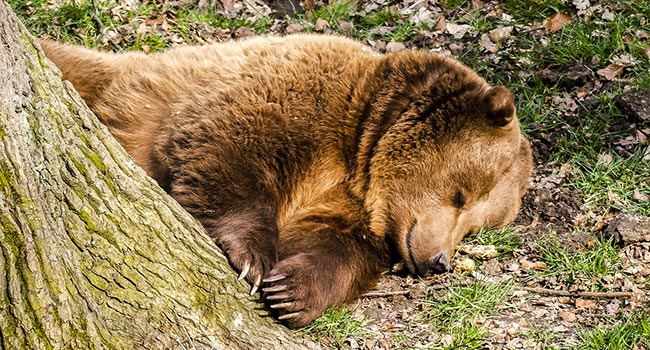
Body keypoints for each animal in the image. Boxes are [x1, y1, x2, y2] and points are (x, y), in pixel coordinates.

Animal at [41, 35, 532, 328]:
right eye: (461, 193)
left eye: (476, 227)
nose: (438, 261)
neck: (361, 151)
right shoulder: (295, 101)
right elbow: (228, 152)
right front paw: (252, 259)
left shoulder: (348, 207)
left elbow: (336, 248)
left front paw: (290, 293)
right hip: (100, 82)